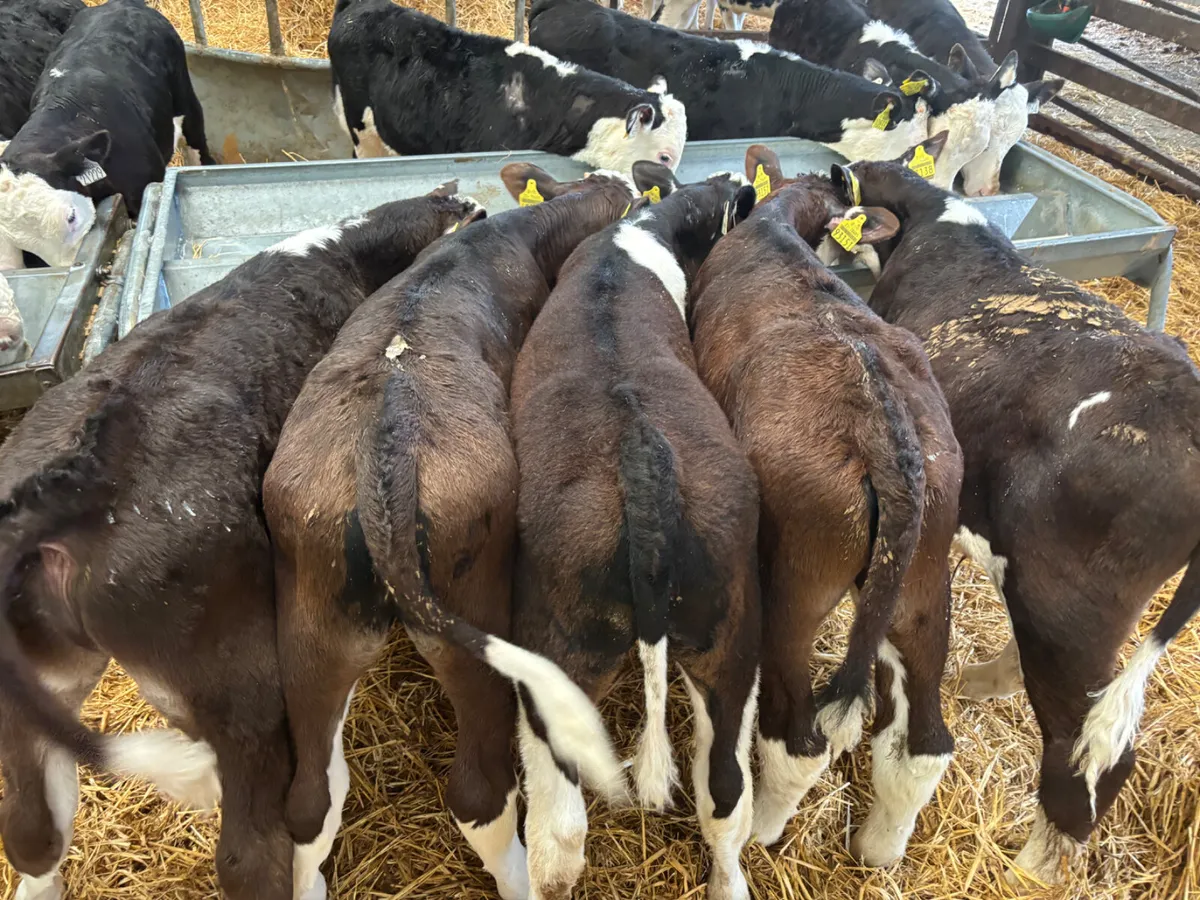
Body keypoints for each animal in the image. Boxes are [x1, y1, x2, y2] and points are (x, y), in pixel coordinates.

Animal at [0, 188, 482, 900]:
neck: (344, 252)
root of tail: (77, 474)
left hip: (40, 689)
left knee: (33, 830)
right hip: (235, 675)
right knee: (250, 850)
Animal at [688, 141, 962, 867]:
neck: (776, 227)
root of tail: (884, 429)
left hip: (796, 586)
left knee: (800, 737)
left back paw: (762, 830)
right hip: (925, 582)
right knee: (926, 743)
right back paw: (879, 849)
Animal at [836, 149, 1200, 887]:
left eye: (860, 178)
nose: (836, 170)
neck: (938, 222)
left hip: (1070, 609)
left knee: (1092, 749)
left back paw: (1032, 868)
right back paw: (982, 680)